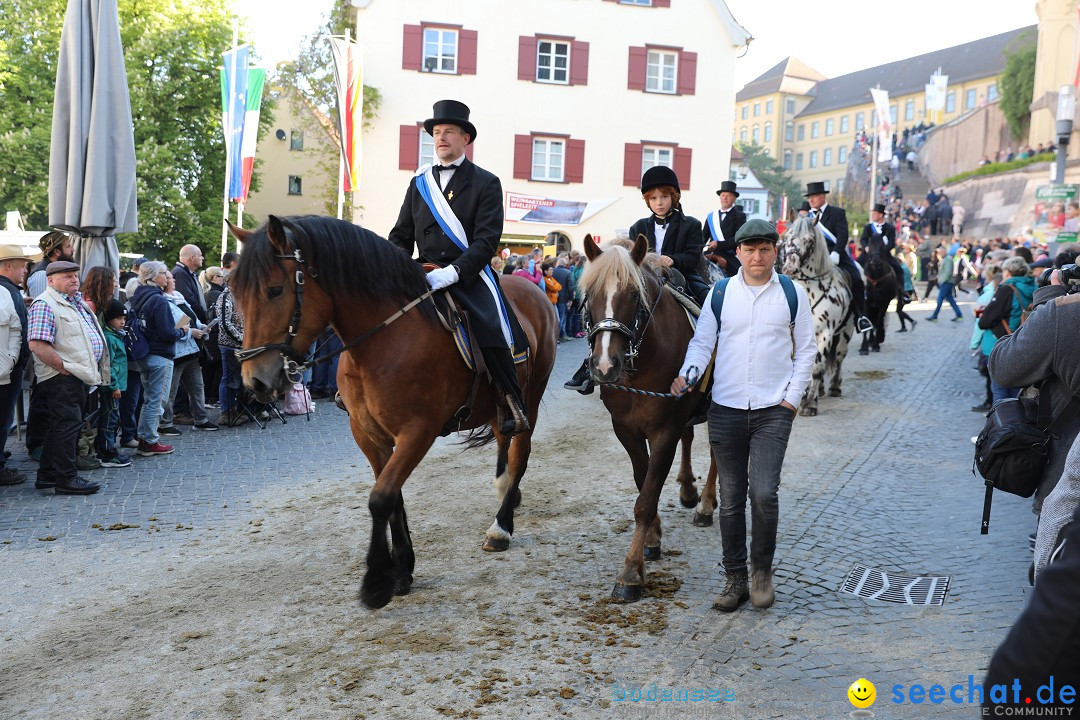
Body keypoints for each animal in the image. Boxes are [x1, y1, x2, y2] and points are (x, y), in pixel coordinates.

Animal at [227, 215, 557, 608]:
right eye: (234, 293)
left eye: (275, 290)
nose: (254, 381)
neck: (381, 343)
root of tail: (533, 290)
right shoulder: (369, 434)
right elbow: (392, 494)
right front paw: (402, 569)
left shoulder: (418, 431)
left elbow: (381, 497)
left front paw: (376, 581)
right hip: (498, 407)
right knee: (504, 441)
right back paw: (506, 490)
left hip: (531, 397)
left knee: (520, 453)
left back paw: (501, 527)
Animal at [583, 235, 708, 604]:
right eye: (589, 294)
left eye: (634, 295)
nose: (605, 366)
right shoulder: (626, 430)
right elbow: (643, 482)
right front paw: (652, 538)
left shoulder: (664, 431)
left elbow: (646, 499)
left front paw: (630, 574)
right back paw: (688, 490)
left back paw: (706, 506)